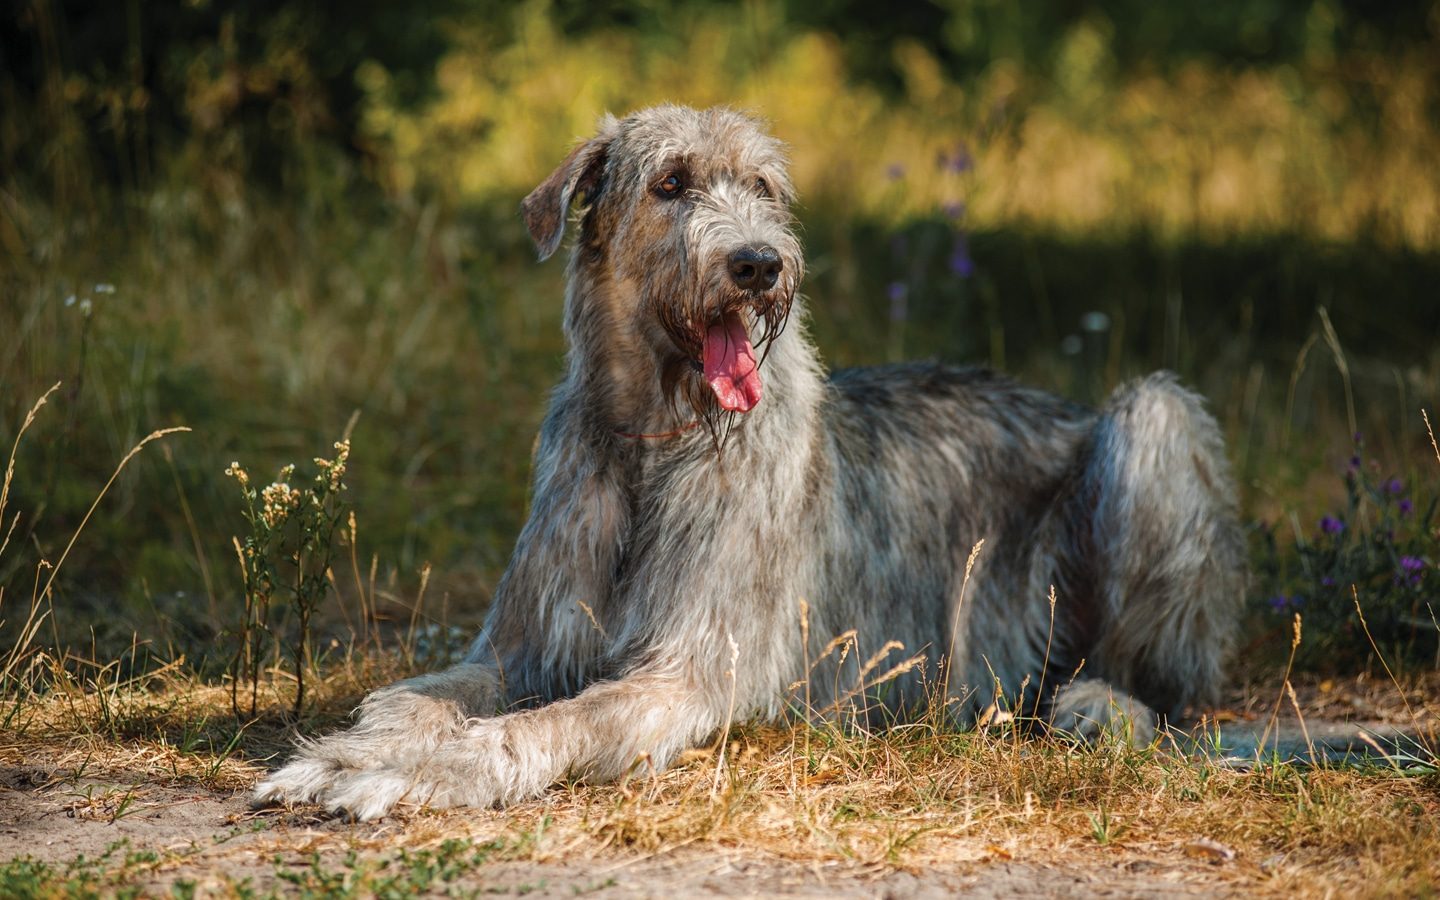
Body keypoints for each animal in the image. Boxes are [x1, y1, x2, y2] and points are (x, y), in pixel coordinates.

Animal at [253, 105, 1244, 823]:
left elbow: (552, 721)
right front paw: (352, 749)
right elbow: (415, 694)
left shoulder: (689, 672)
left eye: (763, 187)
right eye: (671, 183)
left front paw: (417, 772)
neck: (653, 444)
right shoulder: (525, 644)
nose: (759, 264)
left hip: (1155, 420)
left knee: (1174, 688)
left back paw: (1102, 705)